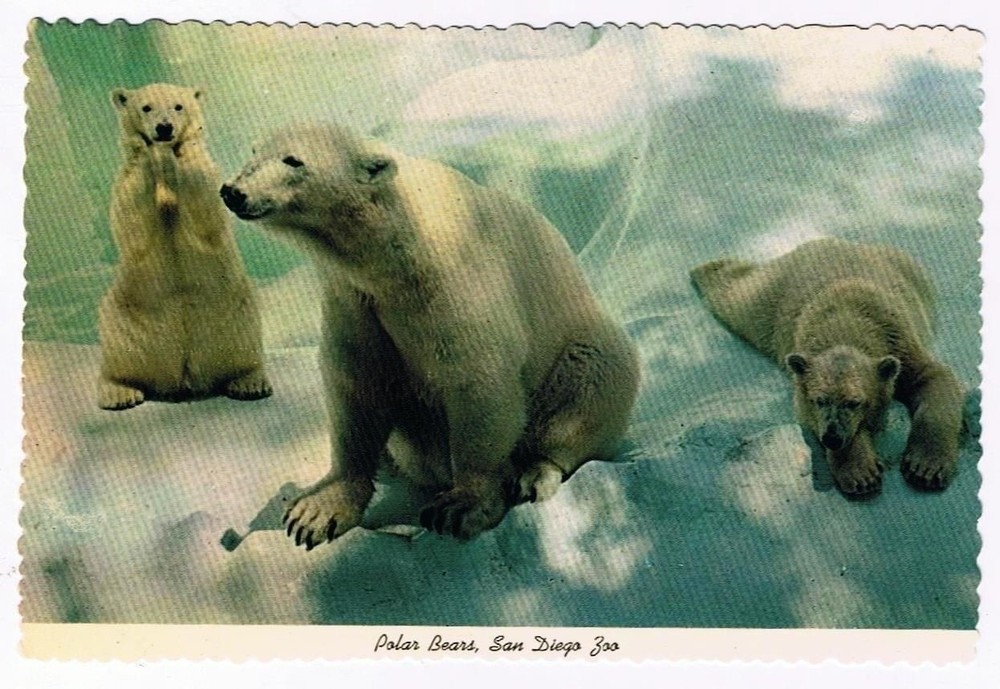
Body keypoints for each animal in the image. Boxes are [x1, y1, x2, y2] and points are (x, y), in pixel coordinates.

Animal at [98, 83, 272, 410]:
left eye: (178, 106)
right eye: (146, 107)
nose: (164, 128)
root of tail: (183, 376)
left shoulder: (206, 175)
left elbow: (206, 208)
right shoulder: (126, 179)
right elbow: (132, 223)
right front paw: (149, 152)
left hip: (233, 312)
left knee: (245, 340)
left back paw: (249, 382)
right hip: (125, 315)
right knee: (118, 349)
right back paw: (119, 392)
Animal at [220, 123, 640, 547]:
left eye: (293, 160)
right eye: (254, 151)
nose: (232, 191)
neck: (394, 245)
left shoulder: (453, 280)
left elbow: (476, 377)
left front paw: (461, 506)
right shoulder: (353, 298)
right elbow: (357, 382)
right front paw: (314, 511)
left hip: (581, 349)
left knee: (589, 383)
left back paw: (532, 472)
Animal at [690, 238, 963, 498]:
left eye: (854, 402)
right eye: (819, 400)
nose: (832, 439)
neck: (848, 320)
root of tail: (829, 241)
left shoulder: (901, 345)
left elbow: (934, 378)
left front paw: (925, 468)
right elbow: (804, 410)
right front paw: (861, 474)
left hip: (911, 272)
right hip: (772, 299)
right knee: (737, 295)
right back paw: (706, 267)